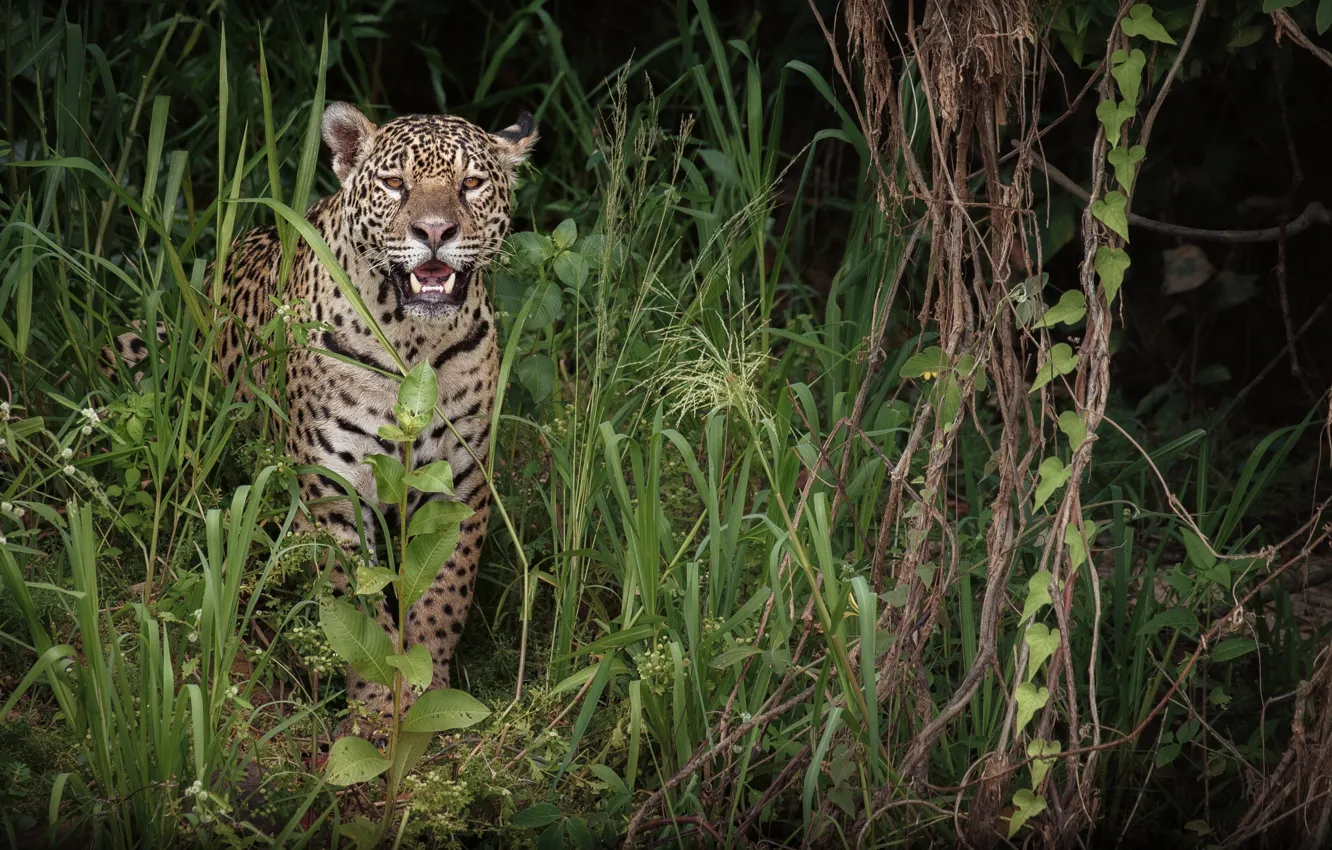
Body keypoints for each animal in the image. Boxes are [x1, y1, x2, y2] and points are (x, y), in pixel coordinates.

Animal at [103, 102, 537, 738]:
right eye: (395, 184)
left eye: (472, 184)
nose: (435, 232)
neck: (415, 344)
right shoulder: (333, 485)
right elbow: (355, 603)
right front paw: (379, 706)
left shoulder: (460, 481)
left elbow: (443, 595)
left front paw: (428, 694)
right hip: (136, 346)